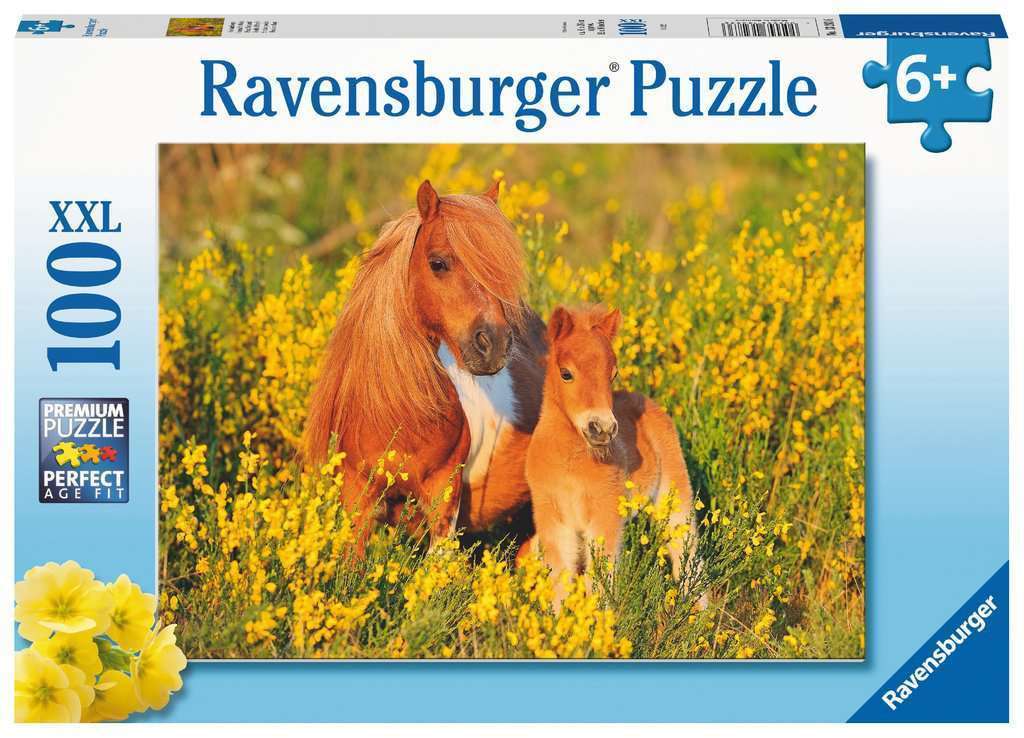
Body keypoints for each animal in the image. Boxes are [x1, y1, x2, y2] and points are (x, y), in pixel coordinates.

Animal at [524, 305, 700, 604]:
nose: (602, 428)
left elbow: (600, 581)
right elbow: (560, 581)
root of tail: (646, 400)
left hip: (674, 492)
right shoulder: (553, 520)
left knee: (686, 551)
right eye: (566, 373)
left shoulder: (603, 516)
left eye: (613, 374)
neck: (570, 465)